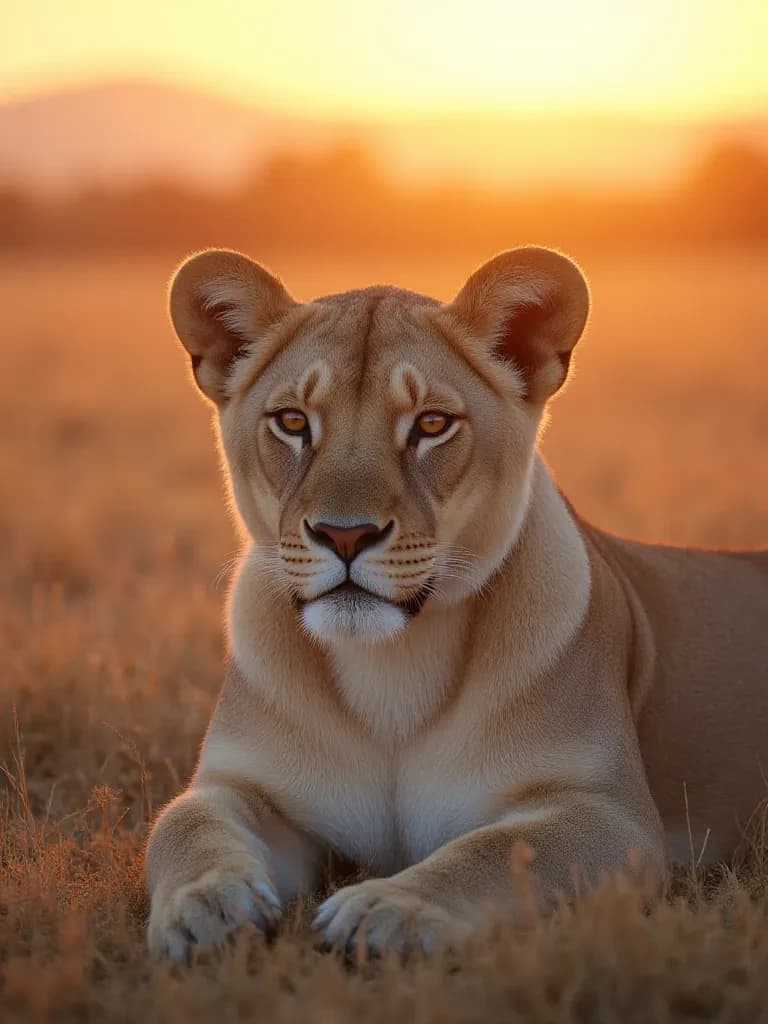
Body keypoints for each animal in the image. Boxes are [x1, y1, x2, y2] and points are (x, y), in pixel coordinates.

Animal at [145, 246, 768, 960]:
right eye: (293, 421)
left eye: (432, 425)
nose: (344, 534)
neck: (391, 669)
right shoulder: (244, 787)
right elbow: (181, 825)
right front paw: (202, 909)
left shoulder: (612, 816)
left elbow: (496, 853)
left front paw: (386, 908)